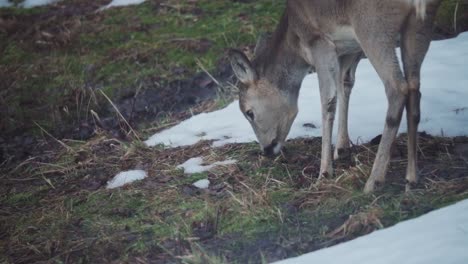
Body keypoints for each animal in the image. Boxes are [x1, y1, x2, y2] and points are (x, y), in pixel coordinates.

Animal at [229, 0, 442, 194]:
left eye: (249, 112)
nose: (266, 150)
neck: (295, 38)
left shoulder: (319, 41)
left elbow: (328, 101)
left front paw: (324, 172)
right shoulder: (350, 49)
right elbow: (345, 83)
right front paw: (342, 148)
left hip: (373, 25)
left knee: (397, 88)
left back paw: (373, 181)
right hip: (420, 23)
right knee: (414, 87)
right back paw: (411, 178)